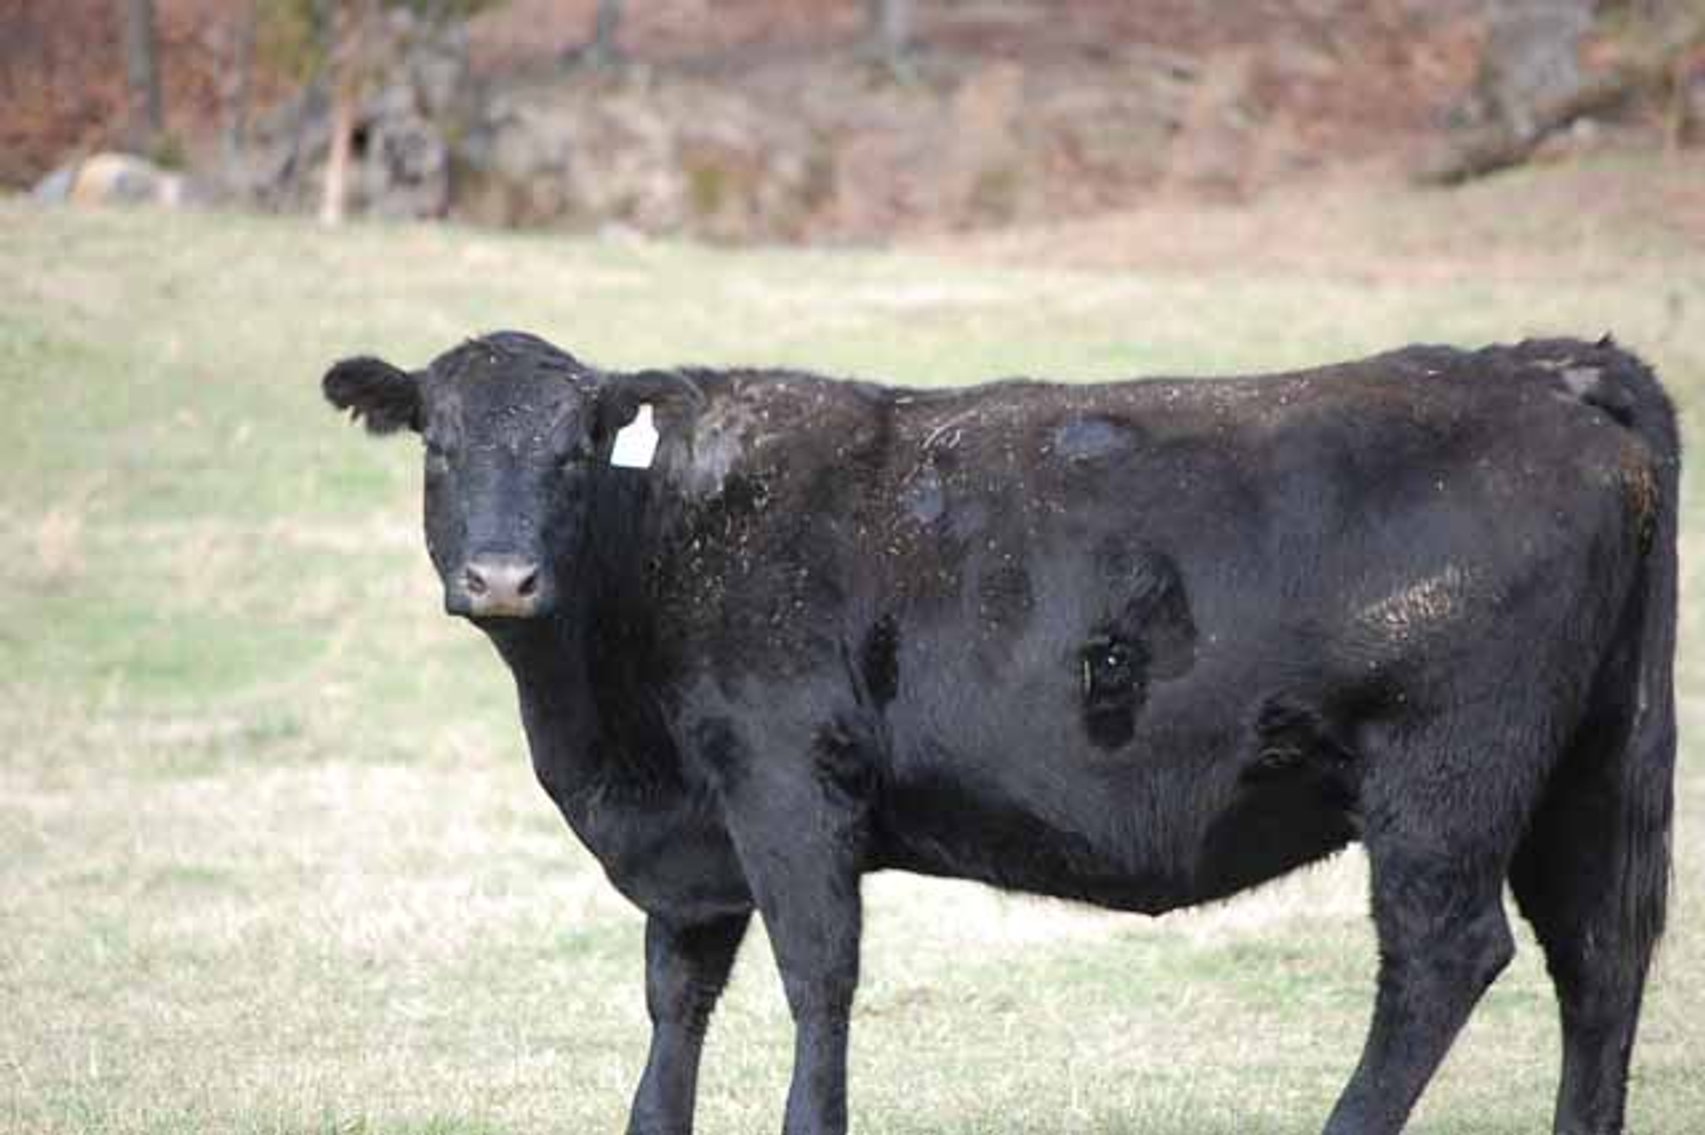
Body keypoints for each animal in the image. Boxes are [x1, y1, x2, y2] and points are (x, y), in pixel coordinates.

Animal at [323, 330, 1678, 1135]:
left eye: (572, 451)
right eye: (440, 450)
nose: (503, 578)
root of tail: (1546, 369)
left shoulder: (784, 784)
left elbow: (817, 974)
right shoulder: (695, 845)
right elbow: (676, 996)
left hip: (1445, 775)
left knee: (1445, 955)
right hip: (1591, 764)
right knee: (1600, 953)